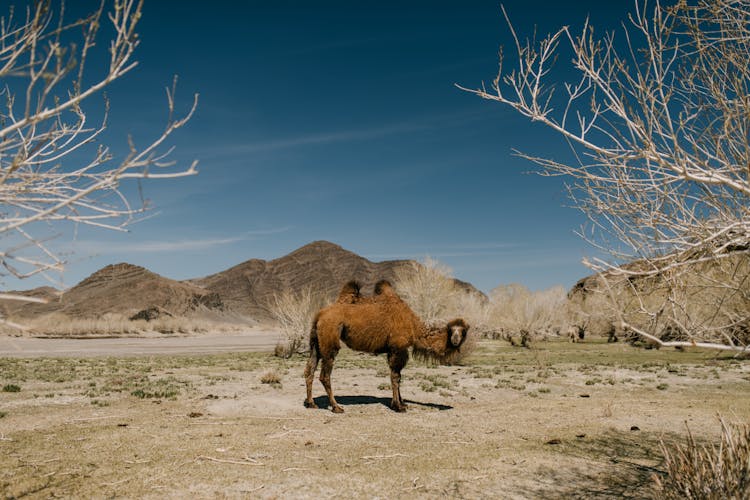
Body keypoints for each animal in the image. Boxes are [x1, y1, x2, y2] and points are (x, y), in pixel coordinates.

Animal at [302, 280, 468, 412]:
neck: (414, 326)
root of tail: (319, 315)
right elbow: (395, 376)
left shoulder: (395, 350)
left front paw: (402, 403)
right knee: (325, 375)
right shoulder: (397, 347)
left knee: (309, 369)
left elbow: (398, 376)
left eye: (463, 331)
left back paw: (311, 403)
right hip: (330, 338)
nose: (455, 340)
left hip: (316, 342)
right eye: (452, 330)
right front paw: (398, 406)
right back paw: (336, 407)